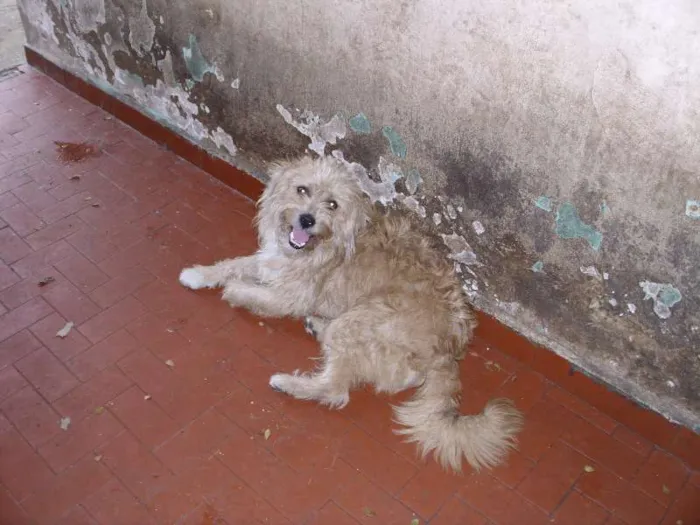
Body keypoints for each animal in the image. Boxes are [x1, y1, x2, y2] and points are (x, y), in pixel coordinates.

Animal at [178, 156, 524, 470]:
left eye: (332, 204)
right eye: (302, 189)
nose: (306, 219)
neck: (318, 246)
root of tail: (450, 350)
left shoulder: (288, 296)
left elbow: (247, 289)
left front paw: (233, 290)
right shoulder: (270, 262)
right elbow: (233, 264)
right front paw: (199, 274)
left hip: (357, 321)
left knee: (336, 390)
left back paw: (288, 382)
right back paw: (318, 327)